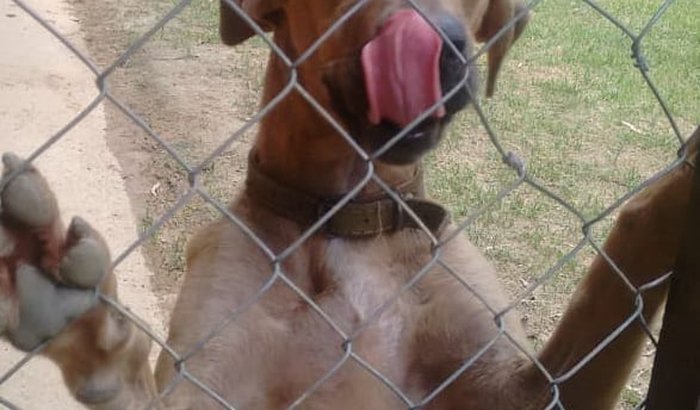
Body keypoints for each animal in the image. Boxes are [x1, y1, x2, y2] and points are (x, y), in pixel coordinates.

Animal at [0, 0, 696, 408]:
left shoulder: (526, 390)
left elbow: (618, 269)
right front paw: (89, 327)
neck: (344, 223)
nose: (443, 48)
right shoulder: (212, 381)